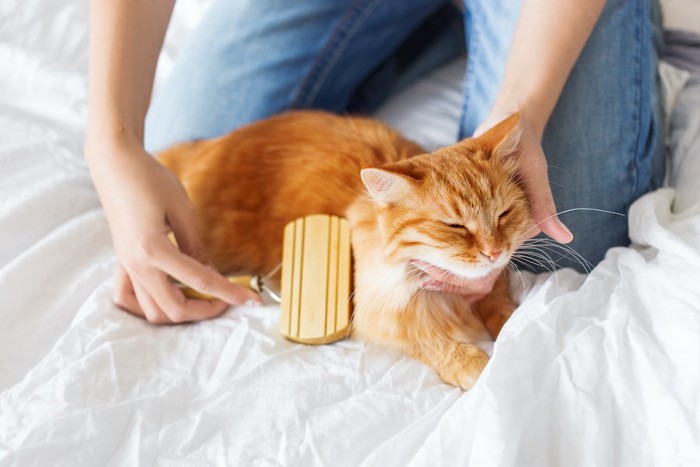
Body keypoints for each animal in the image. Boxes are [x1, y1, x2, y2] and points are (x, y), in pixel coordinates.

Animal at [157, 110, 532, 392]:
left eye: (503, 214)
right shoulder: (379, 316)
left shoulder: (493, 282)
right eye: (455, 226)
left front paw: (513, 329)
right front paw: (477, 366)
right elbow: (433, 341)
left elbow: (501, 307)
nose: (494, 252)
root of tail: (204, 147)